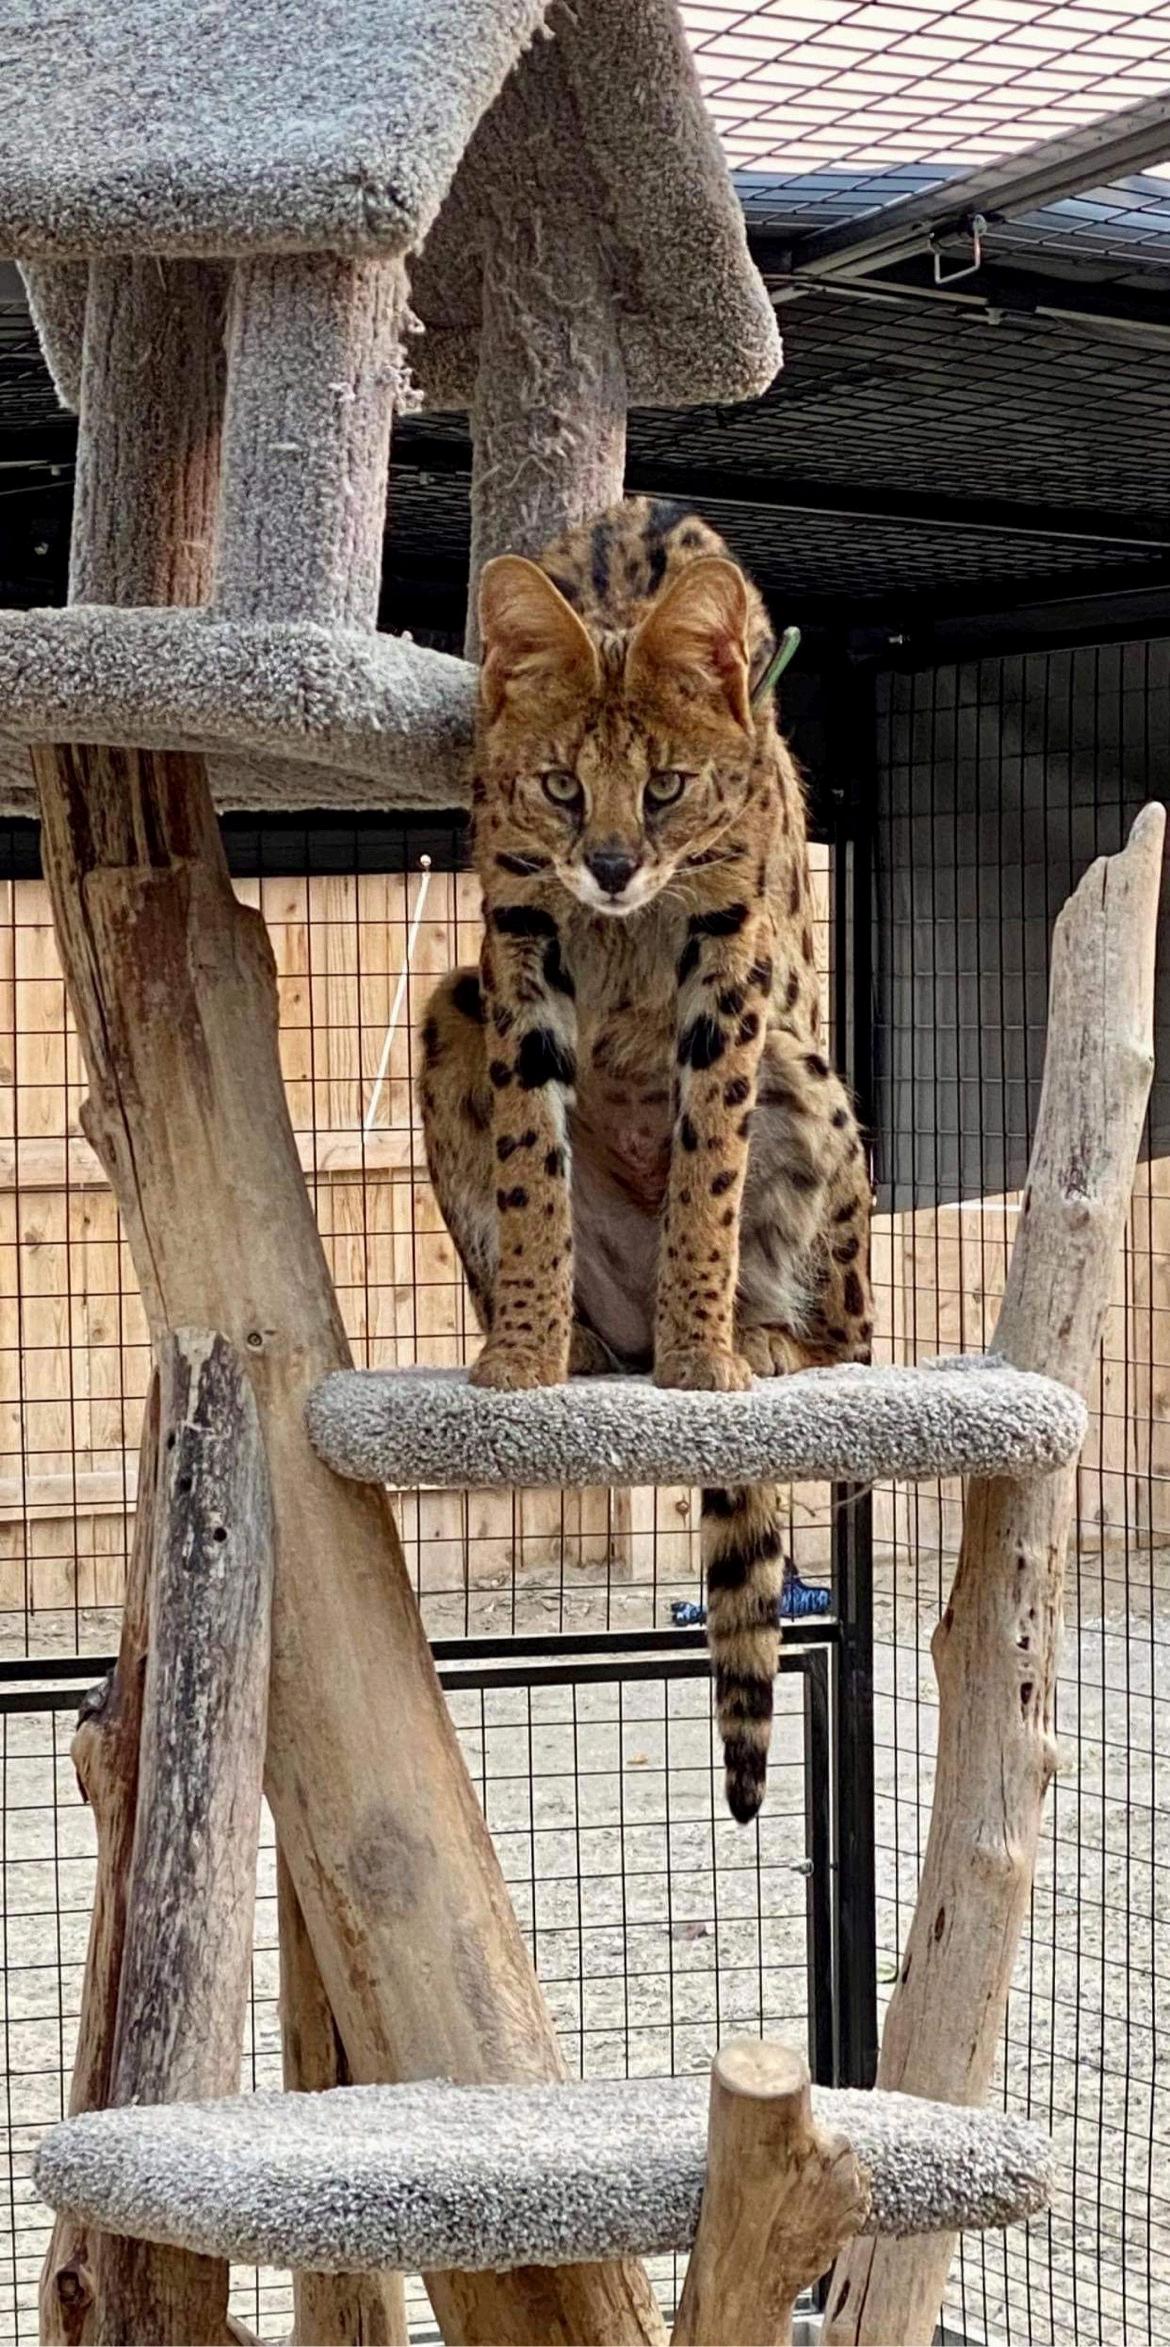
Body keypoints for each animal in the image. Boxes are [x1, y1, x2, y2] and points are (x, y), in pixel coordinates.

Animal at [420, 496, 872, 1821]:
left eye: (666, 788)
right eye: (564, 787)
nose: (616, 866)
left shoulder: (731, 956)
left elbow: (707, 1175)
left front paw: (699, 1359)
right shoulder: (515, 937)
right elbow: (530, 1171)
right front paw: (522, 1358)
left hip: (809, 1069)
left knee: (858, 1334)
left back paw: (760, 1339)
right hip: (447, 1006)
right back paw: (584, 1342)